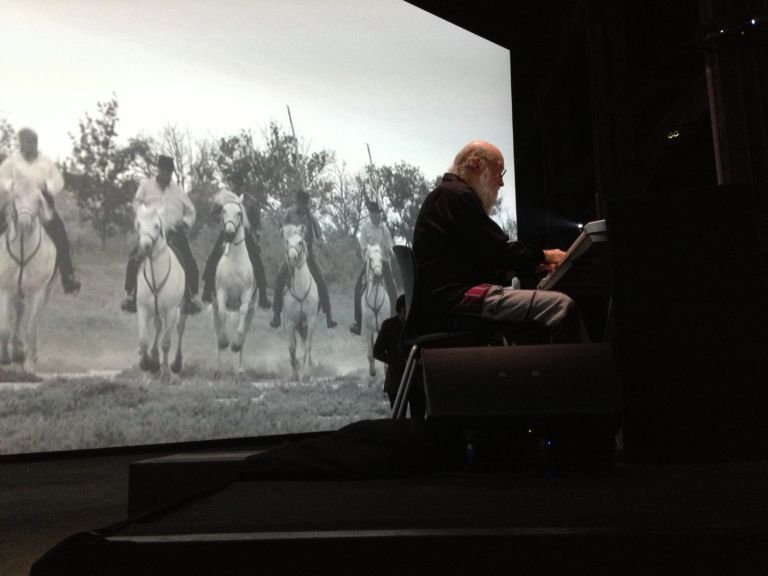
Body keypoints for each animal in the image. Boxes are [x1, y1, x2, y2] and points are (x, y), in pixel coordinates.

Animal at [0, 184, 57, 374]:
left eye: (38, 199)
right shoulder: (5, 289)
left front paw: (28, 365)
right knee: (18, 311)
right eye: (15, 197)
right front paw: (5, 358)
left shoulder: (37, 291)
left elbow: (30, 325)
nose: (24, 224)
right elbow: (4, 327)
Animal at [134, 205, 187, 380]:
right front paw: (147, 363)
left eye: (157, 226)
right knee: (157, 327)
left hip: (182, 310)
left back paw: (175, 365)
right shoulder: (143, 309)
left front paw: (165, 371)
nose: (144, 247)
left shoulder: (171, 311)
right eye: (138, 224)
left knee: (180, 329)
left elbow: (166, 342)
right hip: (156, 311)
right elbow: (144, 340)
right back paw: (154, 361)